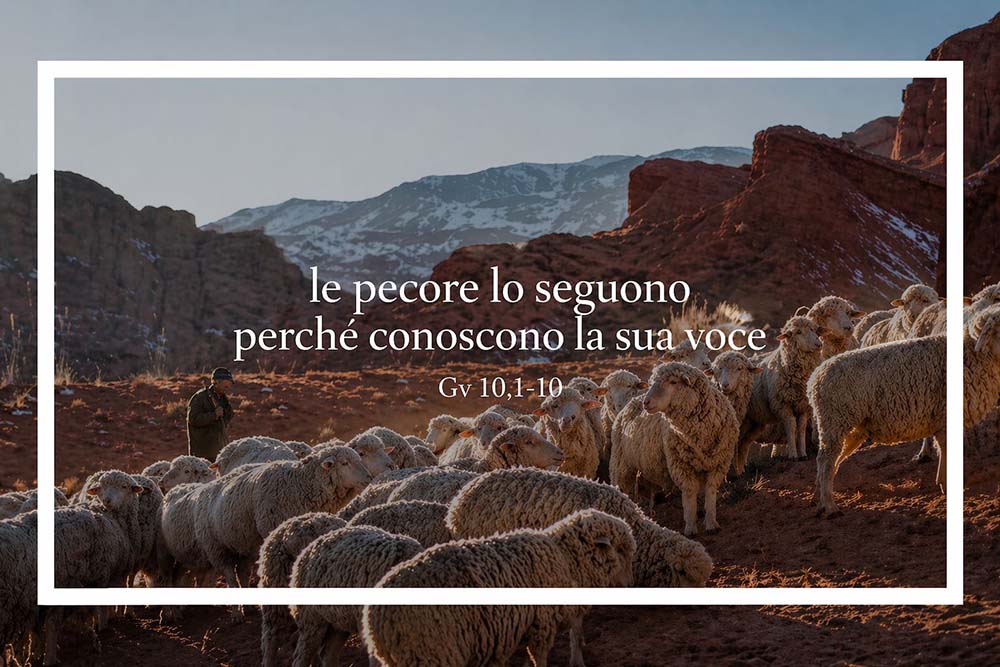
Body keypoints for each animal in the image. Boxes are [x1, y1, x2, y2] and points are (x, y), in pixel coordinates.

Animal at [194, 446, 372, 587]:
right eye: (344, 463)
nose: (369, 479)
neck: (298, 485)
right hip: (218, 550)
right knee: (230, 576)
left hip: (243, 546)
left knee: (242, 572)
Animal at [364, 509, 635, 667]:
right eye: (621, 550)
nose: (630, 585)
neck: (565, 558)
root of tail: (377, 622)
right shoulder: (541, 622)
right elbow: (540, 656)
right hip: (432, 653)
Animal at [641, 363, 740, 535]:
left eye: (673, 382)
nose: (646, 402)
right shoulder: (681, 465)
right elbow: (689, 494)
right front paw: (690, 528)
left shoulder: (719, 464)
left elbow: (711, 491)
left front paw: (711, 523)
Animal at [736, 315, 826, 469]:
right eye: (798, 332)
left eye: (814, 330)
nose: (818, 344)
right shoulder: (783, 404)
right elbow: (791, 427)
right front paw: (793, 455)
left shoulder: (803, 406)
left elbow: (801, 429)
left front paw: (803, 454)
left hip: (754, 421)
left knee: (744, 443)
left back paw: (741, 469)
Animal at [811, 305, 1000, 516]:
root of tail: (814, 378)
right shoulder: (945, 417)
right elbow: (946, 451)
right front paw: (947, 485)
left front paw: (943, 483)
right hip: (834, 421)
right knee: (825, 461)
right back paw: (830, 506)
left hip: (852, 429)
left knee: (830, 463)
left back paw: (820, 500)